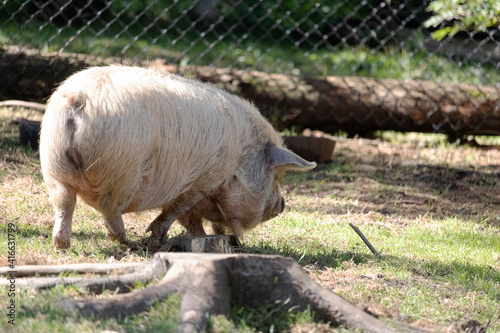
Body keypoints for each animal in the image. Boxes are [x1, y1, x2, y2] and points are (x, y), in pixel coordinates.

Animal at [39, 65, 314, 248]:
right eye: (275, 176)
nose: (282, 204)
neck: (238, 162)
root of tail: (79, 99)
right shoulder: (202, 180)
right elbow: (178, 211)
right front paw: (159, 237)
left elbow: (188, 218)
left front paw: (200, 238)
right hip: (120, 173)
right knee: (108, 209)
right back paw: (127, 242)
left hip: (52, 165)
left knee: (63, 203)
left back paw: (61, 245)